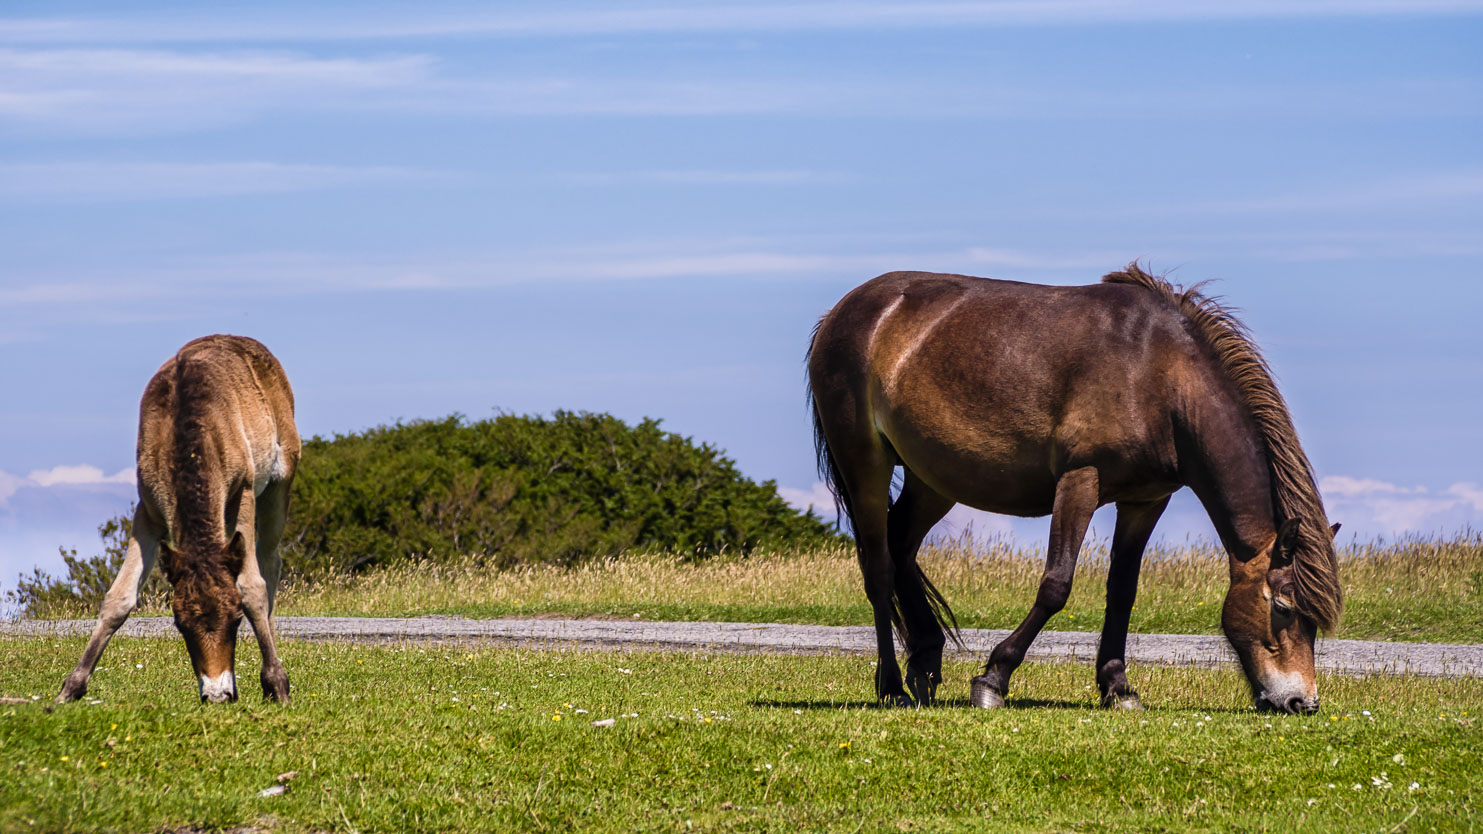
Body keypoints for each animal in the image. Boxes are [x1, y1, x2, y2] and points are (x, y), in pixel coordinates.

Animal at [56, 330, 299, 700]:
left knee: (270, 561)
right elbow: (118, 598)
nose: (217, 694)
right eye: (180, 624)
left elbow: (251, 587)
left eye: (236, 619)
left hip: (280, 480)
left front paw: (277, 683)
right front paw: (71, 688)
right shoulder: (148, 508)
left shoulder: (243, 490)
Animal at [812, 262, 1346, 712]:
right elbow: (1056, 585)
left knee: (902, 546)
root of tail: (843, 311)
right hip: (865, 462)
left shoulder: (1145, 501)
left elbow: (1122, 592)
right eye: (1283, 607)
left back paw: (924, 663)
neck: (1159, 374)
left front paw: (1118, 686)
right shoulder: (1080, 481)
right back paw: (892, 686)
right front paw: (993, 679)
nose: (1302, 702)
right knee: (879, 567)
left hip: (934, 480)